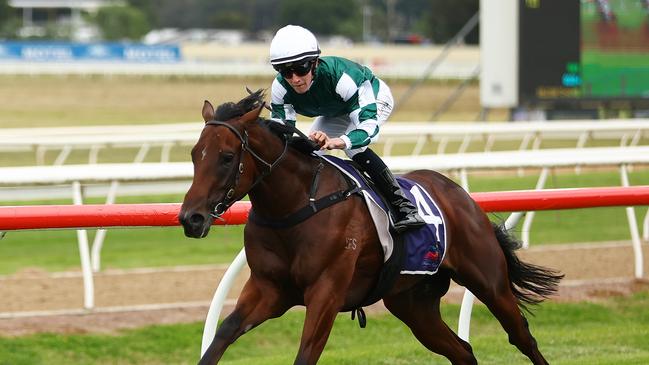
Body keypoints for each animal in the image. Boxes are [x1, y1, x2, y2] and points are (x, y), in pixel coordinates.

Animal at [178, 90, 560, 364]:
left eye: (227, 157)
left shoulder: (326, 292)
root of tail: (460, 194)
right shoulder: (268, 289)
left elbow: (305, 354)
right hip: (412, 303)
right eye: (195, 154)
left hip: (489, 281)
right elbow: (221, 335)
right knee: (462, 352)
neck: (296, 205)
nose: (190, 218)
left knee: (522, 337)